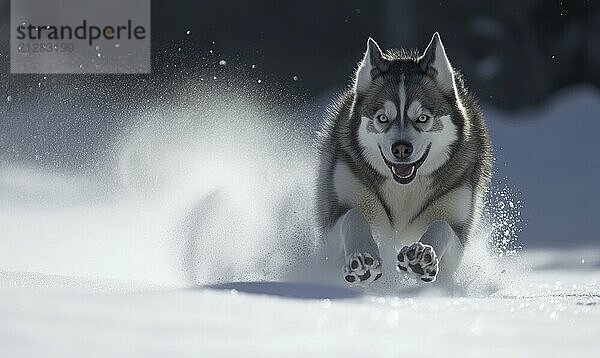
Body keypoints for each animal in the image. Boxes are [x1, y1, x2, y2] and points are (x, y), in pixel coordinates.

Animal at [316, 33, 490, 286]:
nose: (401, 149)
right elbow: (353, 215)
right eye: (382, 118)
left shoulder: (457, 230)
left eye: (422, 118)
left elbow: (442, 226)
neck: (404, 189)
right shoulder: (334, 223)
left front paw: (421, 256)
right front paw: (363, 259)